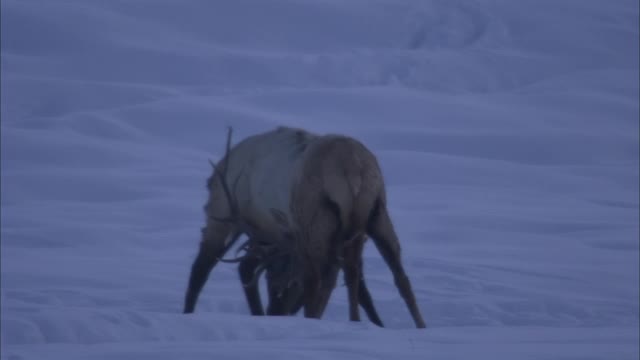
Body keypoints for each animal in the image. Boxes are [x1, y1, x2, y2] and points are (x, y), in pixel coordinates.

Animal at [182, 124, 428, 330]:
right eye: (274, 285)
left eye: (285, 286)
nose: (276, 312)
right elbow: (361, 287)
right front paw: (377, 323)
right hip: (374, 215)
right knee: (394, 275)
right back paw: (417, 325)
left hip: (257, 216)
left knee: (208, 266)